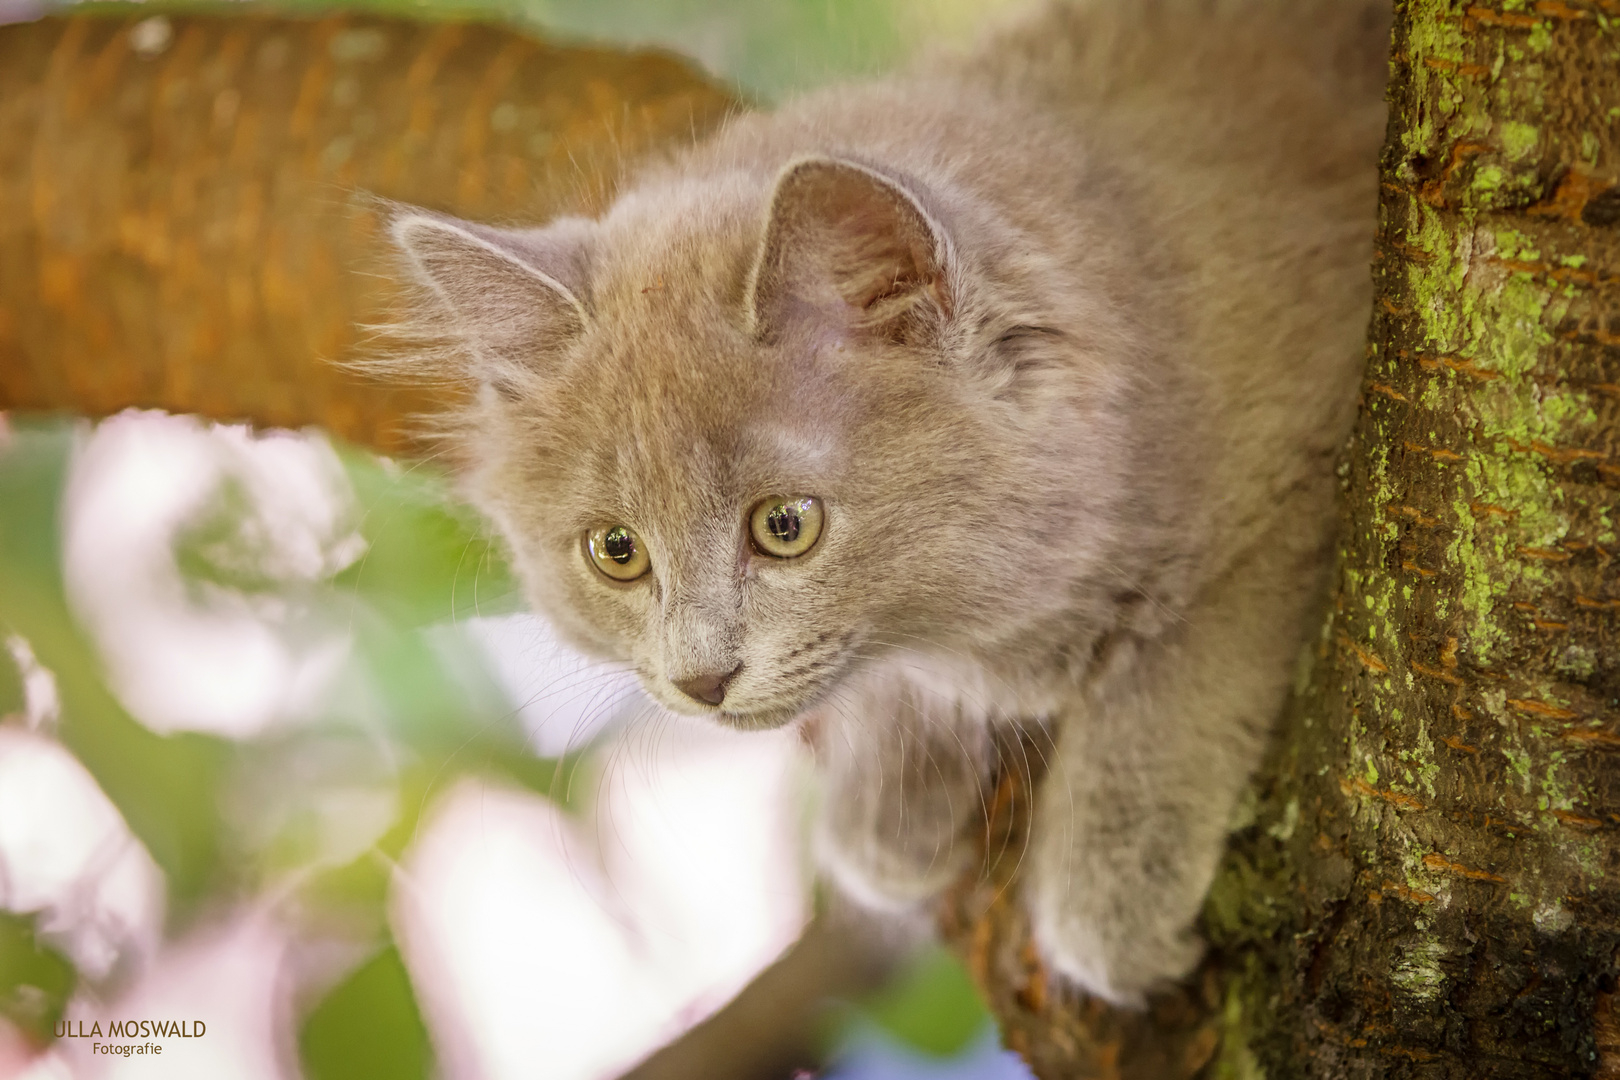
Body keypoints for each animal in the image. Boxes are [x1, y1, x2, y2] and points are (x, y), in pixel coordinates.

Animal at [385, 0, 1386, 1003]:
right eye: (617, 551)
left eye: (786, 527)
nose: (701, 680)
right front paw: (888, 803)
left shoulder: (1306, 464)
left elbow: (1166, 687)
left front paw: (1110, 904)